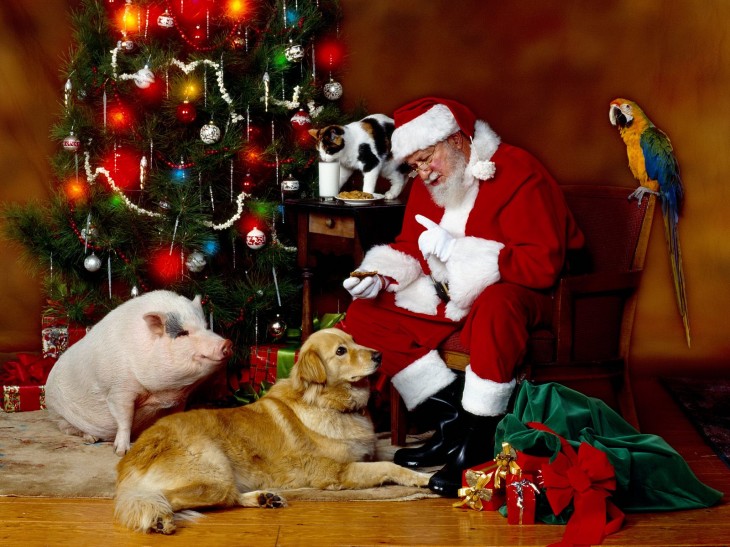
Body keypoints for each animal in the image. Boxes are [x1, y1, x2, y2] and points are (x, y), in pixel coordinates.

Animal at [114, 328, 430, 532]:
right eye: (341, 351)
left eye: (354, 341)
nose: (379, 355)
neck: (327, 403)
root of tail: (134, 454)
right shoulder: (337, 473)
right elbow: (389, 466)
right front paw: (425, 479)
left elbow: (390, 456)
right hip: (213, 474)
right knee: (160, 499)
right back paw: (159, 519)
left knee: (230, 498)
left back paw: (264, 498)